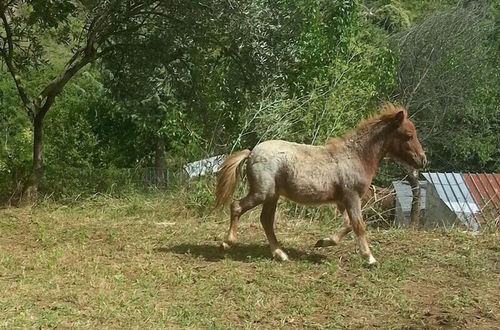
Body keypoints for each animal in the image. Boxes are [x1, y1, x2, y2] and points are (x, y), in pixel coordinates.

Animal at [214, 103, 426, 266]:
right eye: (408, 135)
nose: (422, 160)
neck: (355, 157)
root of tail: (251, 152)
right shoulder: (352, 197)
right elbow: (359, 225)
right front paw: (370, 258)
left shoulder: (341, 201)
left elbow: (348, 225)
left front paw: (323, 242)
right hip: (262, 193)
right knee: (237, 206)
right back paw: (227, 243)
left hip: (272, 196)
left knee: (266, 220)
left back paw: (280, 254)